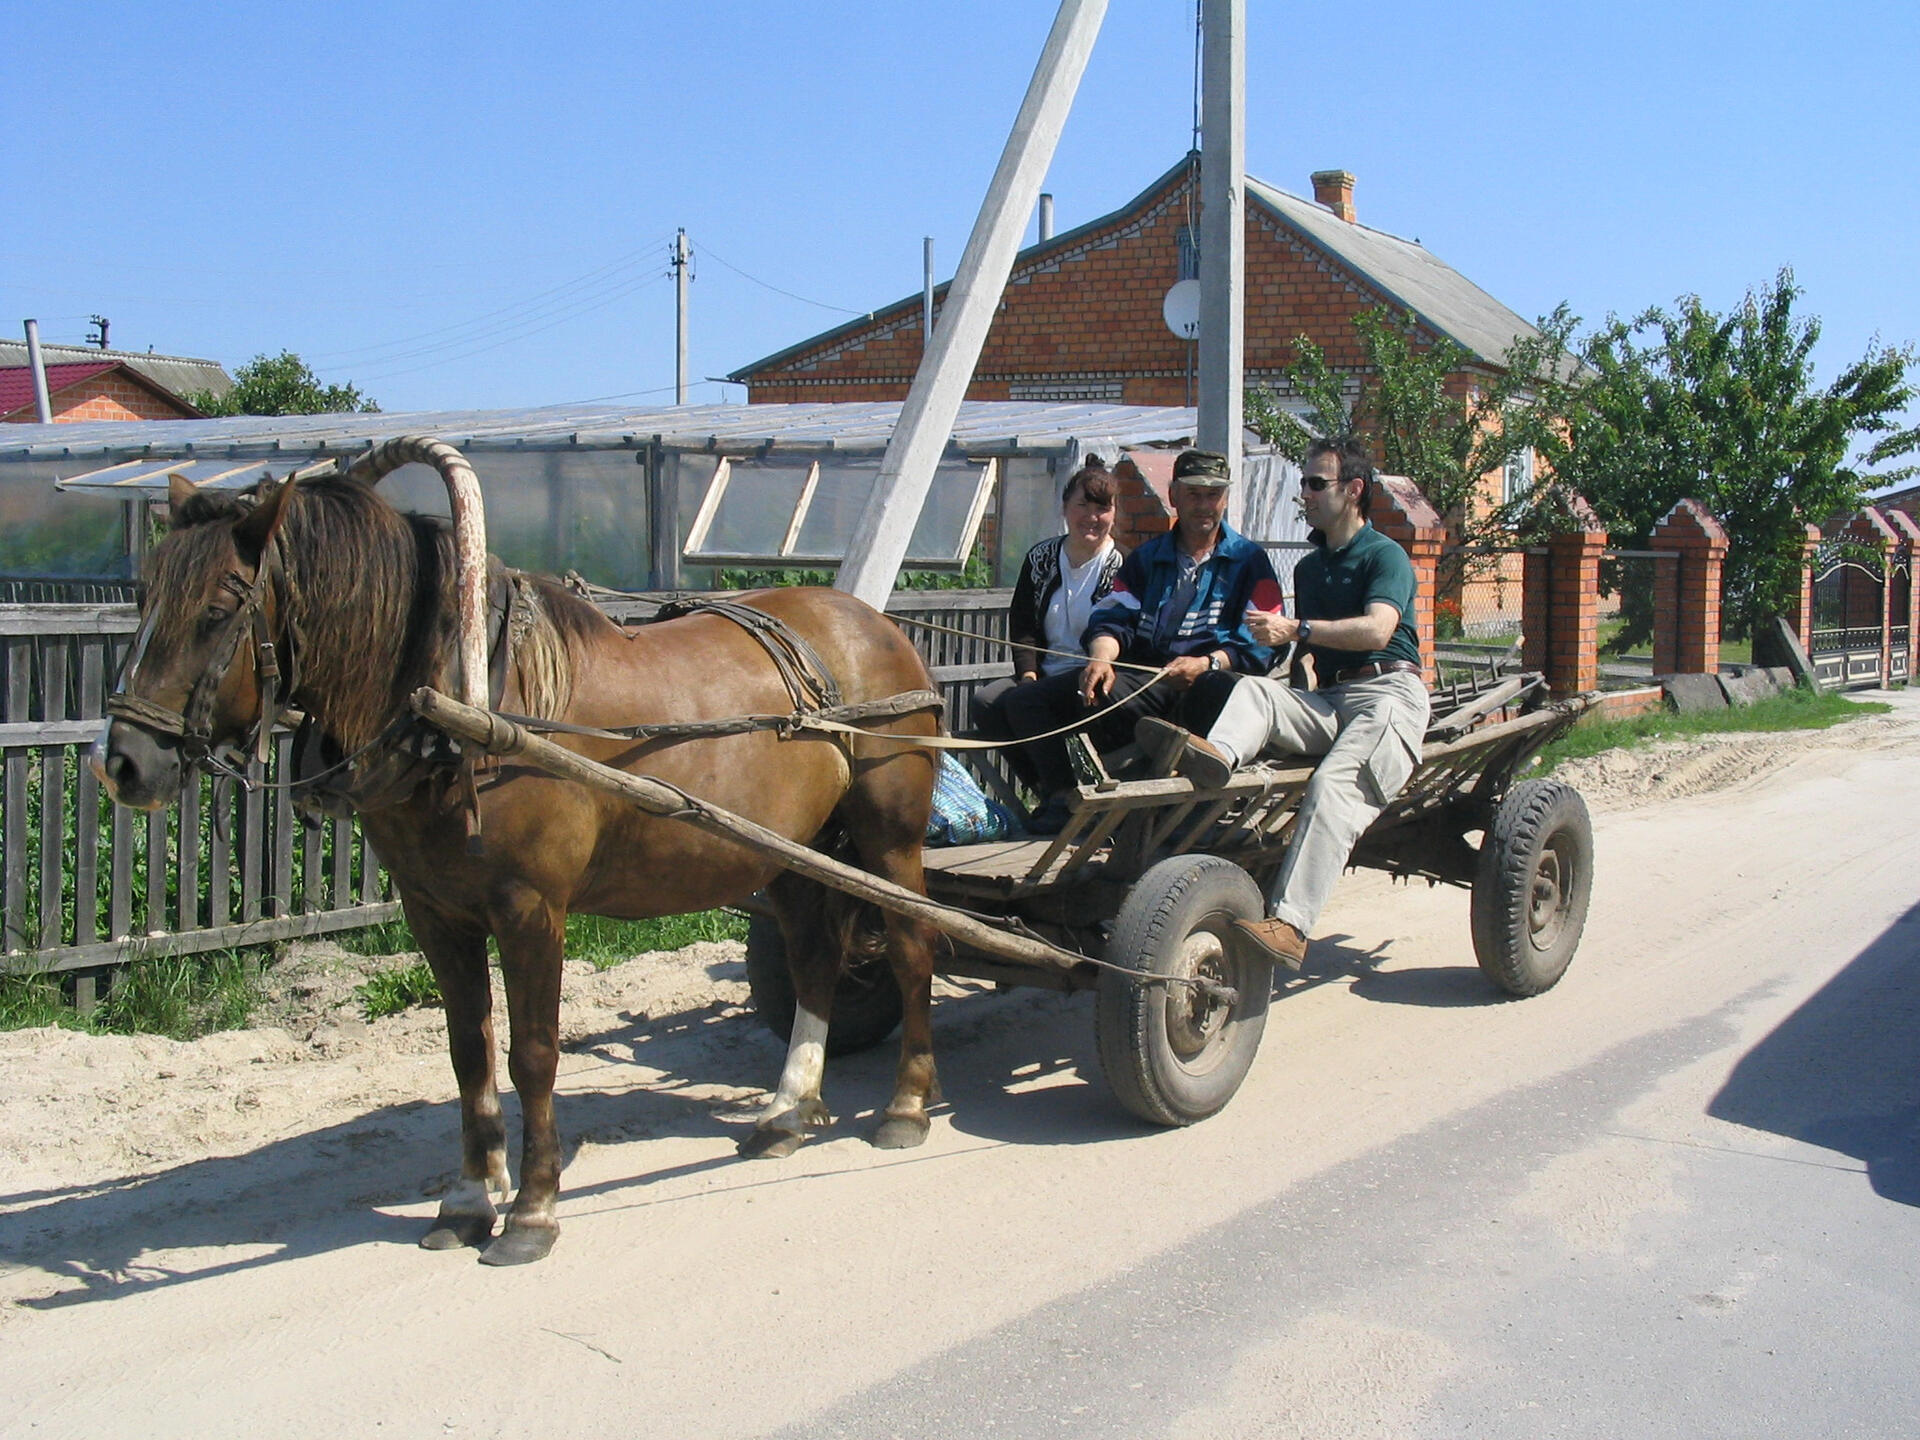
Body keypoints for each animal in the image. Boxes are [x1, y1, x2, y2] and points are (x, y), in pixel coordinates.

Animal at [96, 455, 943, 1266]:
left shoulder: (531, 909)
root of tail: (873, 624)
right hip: (793, 854)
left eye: (217, 610)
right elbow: (469, 1052)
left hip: (886, 841)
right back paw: (788, 1109)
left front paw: (533, 1210)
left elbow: (532, 1054)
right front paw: (470, 1200)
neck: (467, 711)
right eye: (143, 597)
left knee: (911, 949)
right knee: (814, 959)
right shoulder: (435, 913)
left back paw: (905, 1105)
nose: (124, 765)